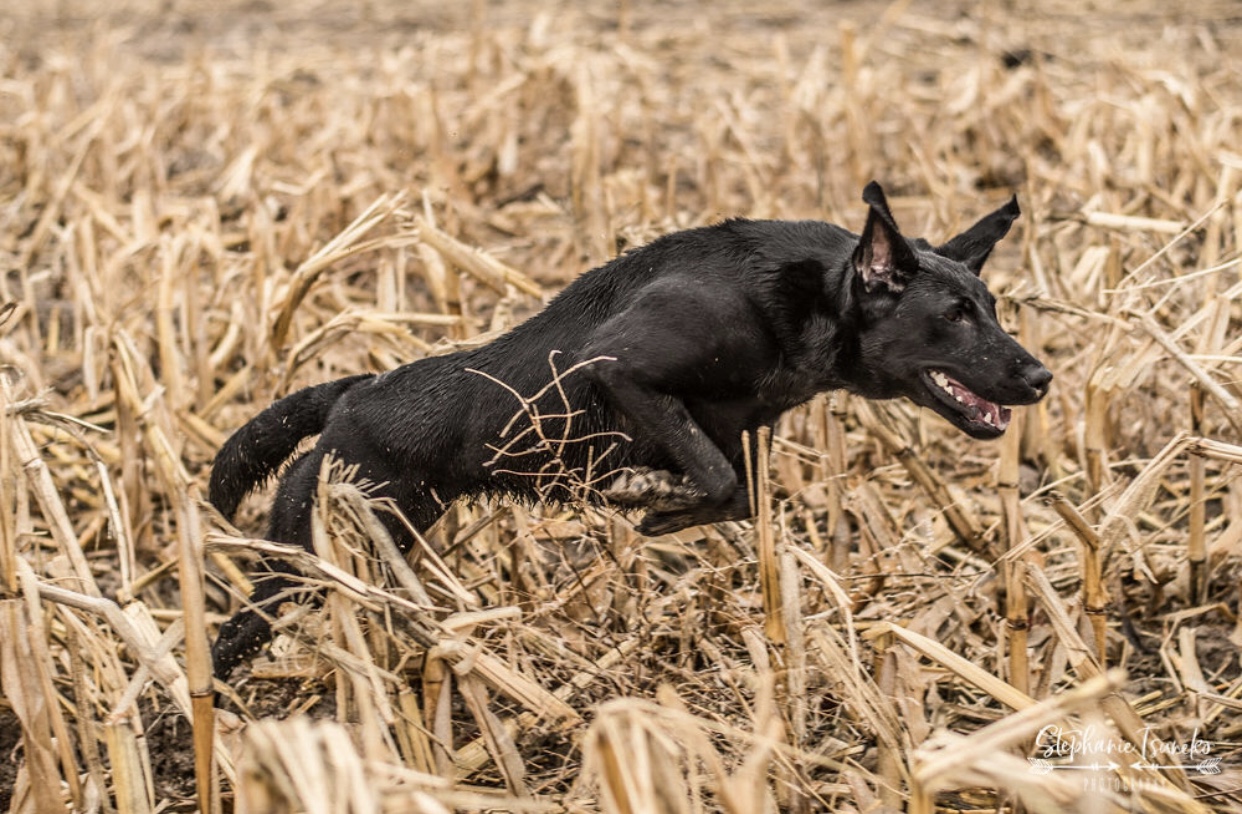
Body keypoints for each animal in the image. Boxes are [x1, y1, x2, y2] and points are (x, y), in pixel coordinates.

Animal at [211, 181, 1048, 676]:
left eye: (991, 307)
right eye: (954, 316)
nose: (1041, 376)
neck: (808, 303)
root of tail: (350, 395)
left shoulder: (744, 433)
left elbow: (739, 492)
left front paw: (662, 511)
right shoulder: (622, 369)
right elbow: (713, 478)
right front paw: (645, 497)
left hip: (393, 524)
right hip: (303, 549)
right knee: (232, 634)